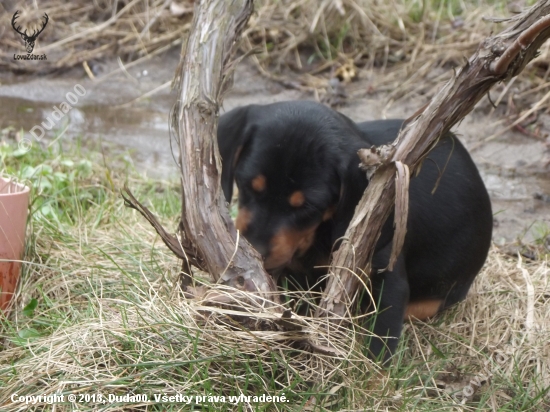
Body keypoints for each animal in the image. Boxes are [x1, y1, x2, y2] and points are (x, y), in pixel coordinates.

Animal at [218, 100, 494, 360]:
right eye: (247, 184)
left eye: (308, 206)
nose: (253, 251)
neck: (319, 235)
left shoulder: (387, 281)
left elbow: (380, 343)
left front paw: (369, 374)